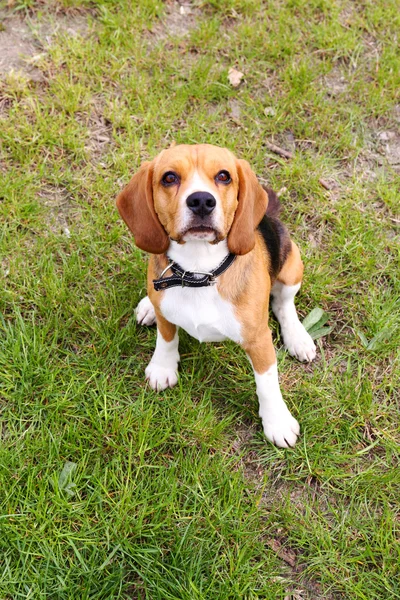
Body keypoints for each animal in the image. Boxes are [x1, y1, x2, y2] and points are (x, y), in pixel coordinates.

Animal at [115, 143, 316, 448]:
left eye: (224, 176)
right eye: (169, 178)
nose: (201, 201)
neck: (200, 272)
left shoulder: (259, 339)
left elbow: (267, 382)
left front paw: (277, 421)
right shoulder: (166, 314)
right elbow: (166, 338)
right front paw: (162, 367)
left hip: (292, 263)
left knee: (284, 303)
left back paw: (298, 337)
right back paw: (148, 306)